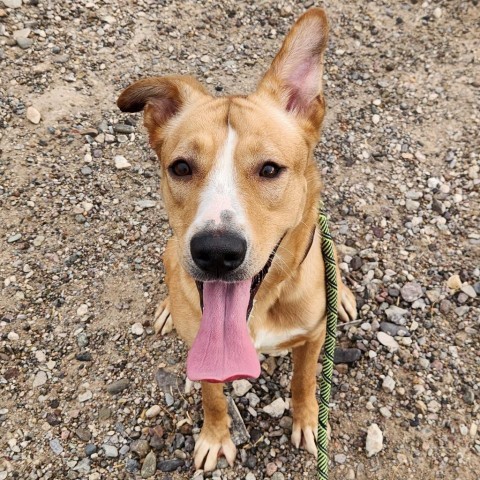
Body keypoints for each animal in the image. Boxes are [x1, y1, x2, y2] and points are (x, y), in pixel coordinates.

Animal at [116, 7, 356, 472]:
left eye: (269, 169)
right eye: (181, 167)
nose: (216, 253)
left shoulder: (314, 337)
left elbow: (304, 380)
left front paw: (307, 421)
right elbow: (212, 396)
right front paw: (215, 437)